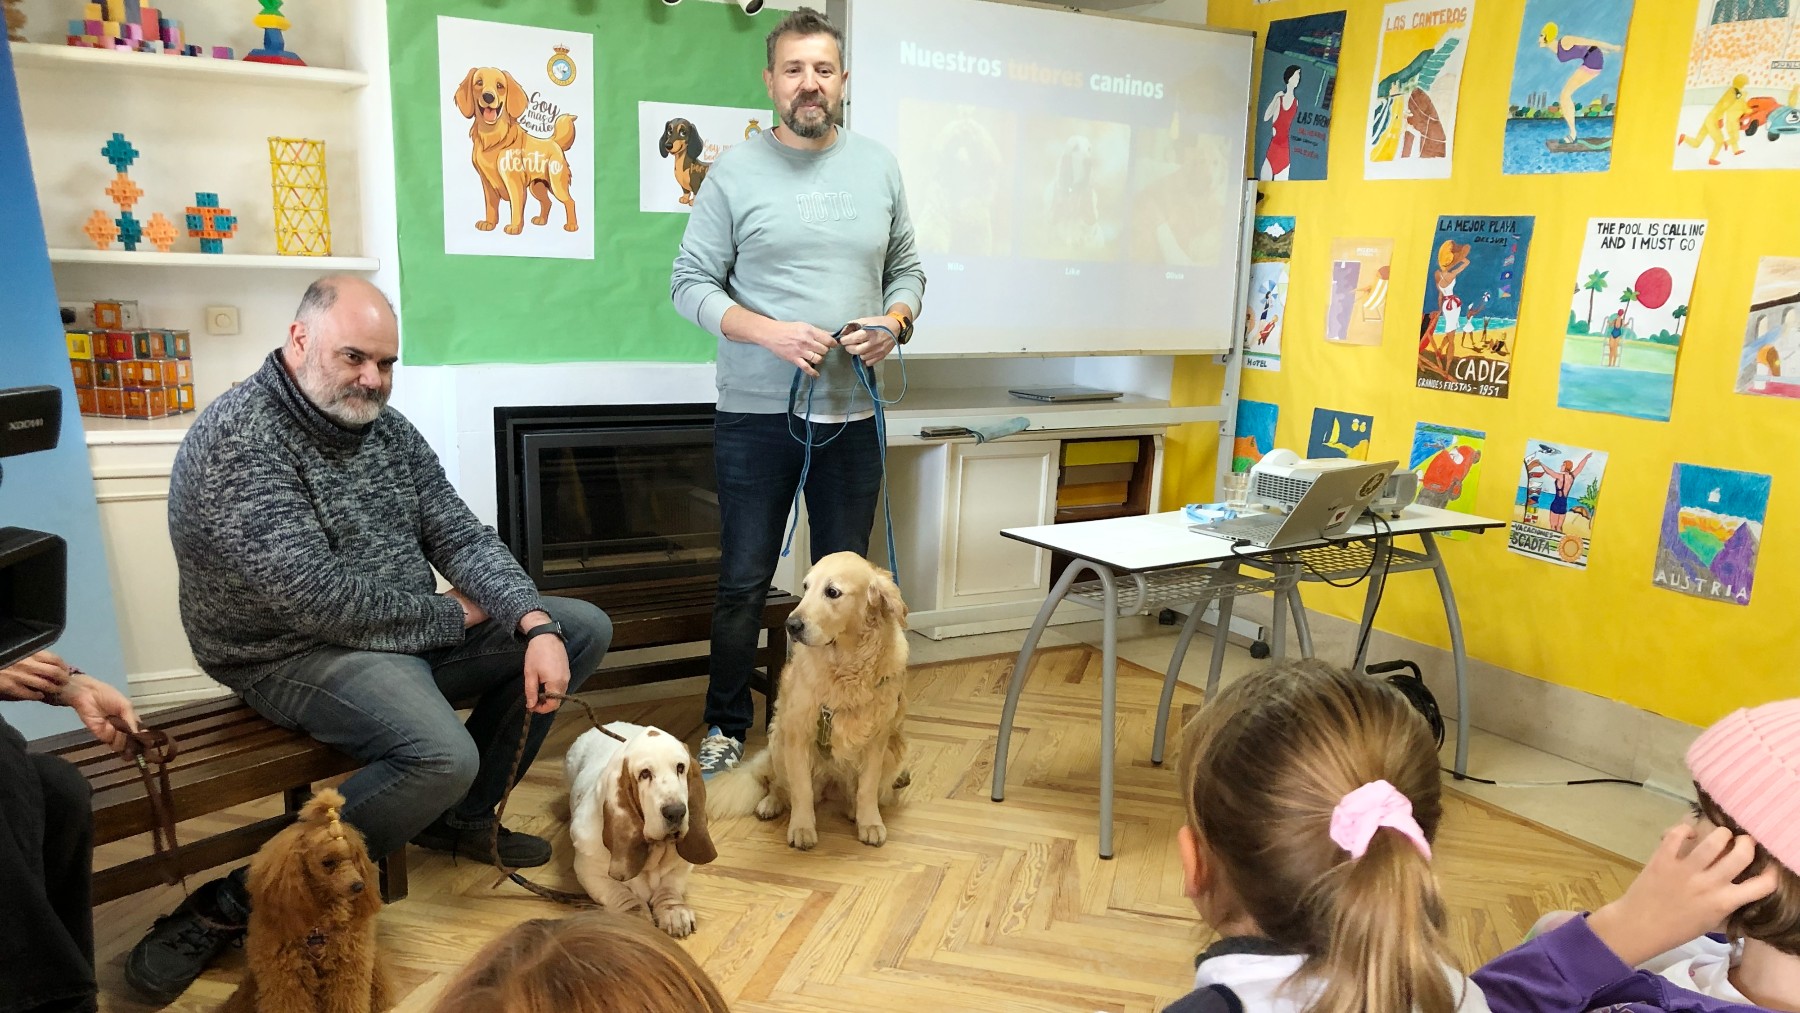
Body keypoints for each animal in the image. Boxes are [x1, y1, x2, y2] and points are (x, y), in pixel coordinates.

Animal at [219, 791, 392, 1013]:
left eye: (353, 858)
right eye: (328, 862)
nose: (358, 886)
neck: (318, 924)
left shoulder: (347, 967)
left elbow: (347, 1000)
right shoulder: (287, 976)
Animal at [453, 65, 579, 235]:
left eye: (500, 86)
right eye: (479, 83)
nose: (488, 97)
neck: (493, 140)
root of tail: (553, 141)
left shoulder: (513, 181)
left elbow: (516, 206)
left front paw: (514, 227)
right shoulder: (486, 183)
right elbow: (491, 207)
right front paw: (489, 223)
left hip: (556, 184)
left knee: (570, 201)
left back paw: (572, 226)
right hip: (537, 186)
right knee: (547, 202)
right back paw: (541, 220)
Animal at [568, 726, 723, 942]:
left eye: (680, 768)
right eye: (645, 773)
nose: (676, 812)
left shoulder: (682, 866)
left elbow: (669, 886)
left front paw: (674, 912)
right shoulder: (589, 871)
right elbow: (621, 894)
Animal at [709, 550, 914, 852]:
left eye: (832, 592)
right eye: (805, 587)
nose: (791, 625)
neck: (845, 667)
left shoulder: (877, 741)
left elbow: (866, 788)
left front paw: (869, 822)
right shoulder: (797, 737)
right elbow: (801, 790)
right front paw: (802, 828)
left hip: (892, 749)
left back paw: (856, 808)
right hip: (778, 741)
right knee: (778, 784)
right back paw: (770, 803)